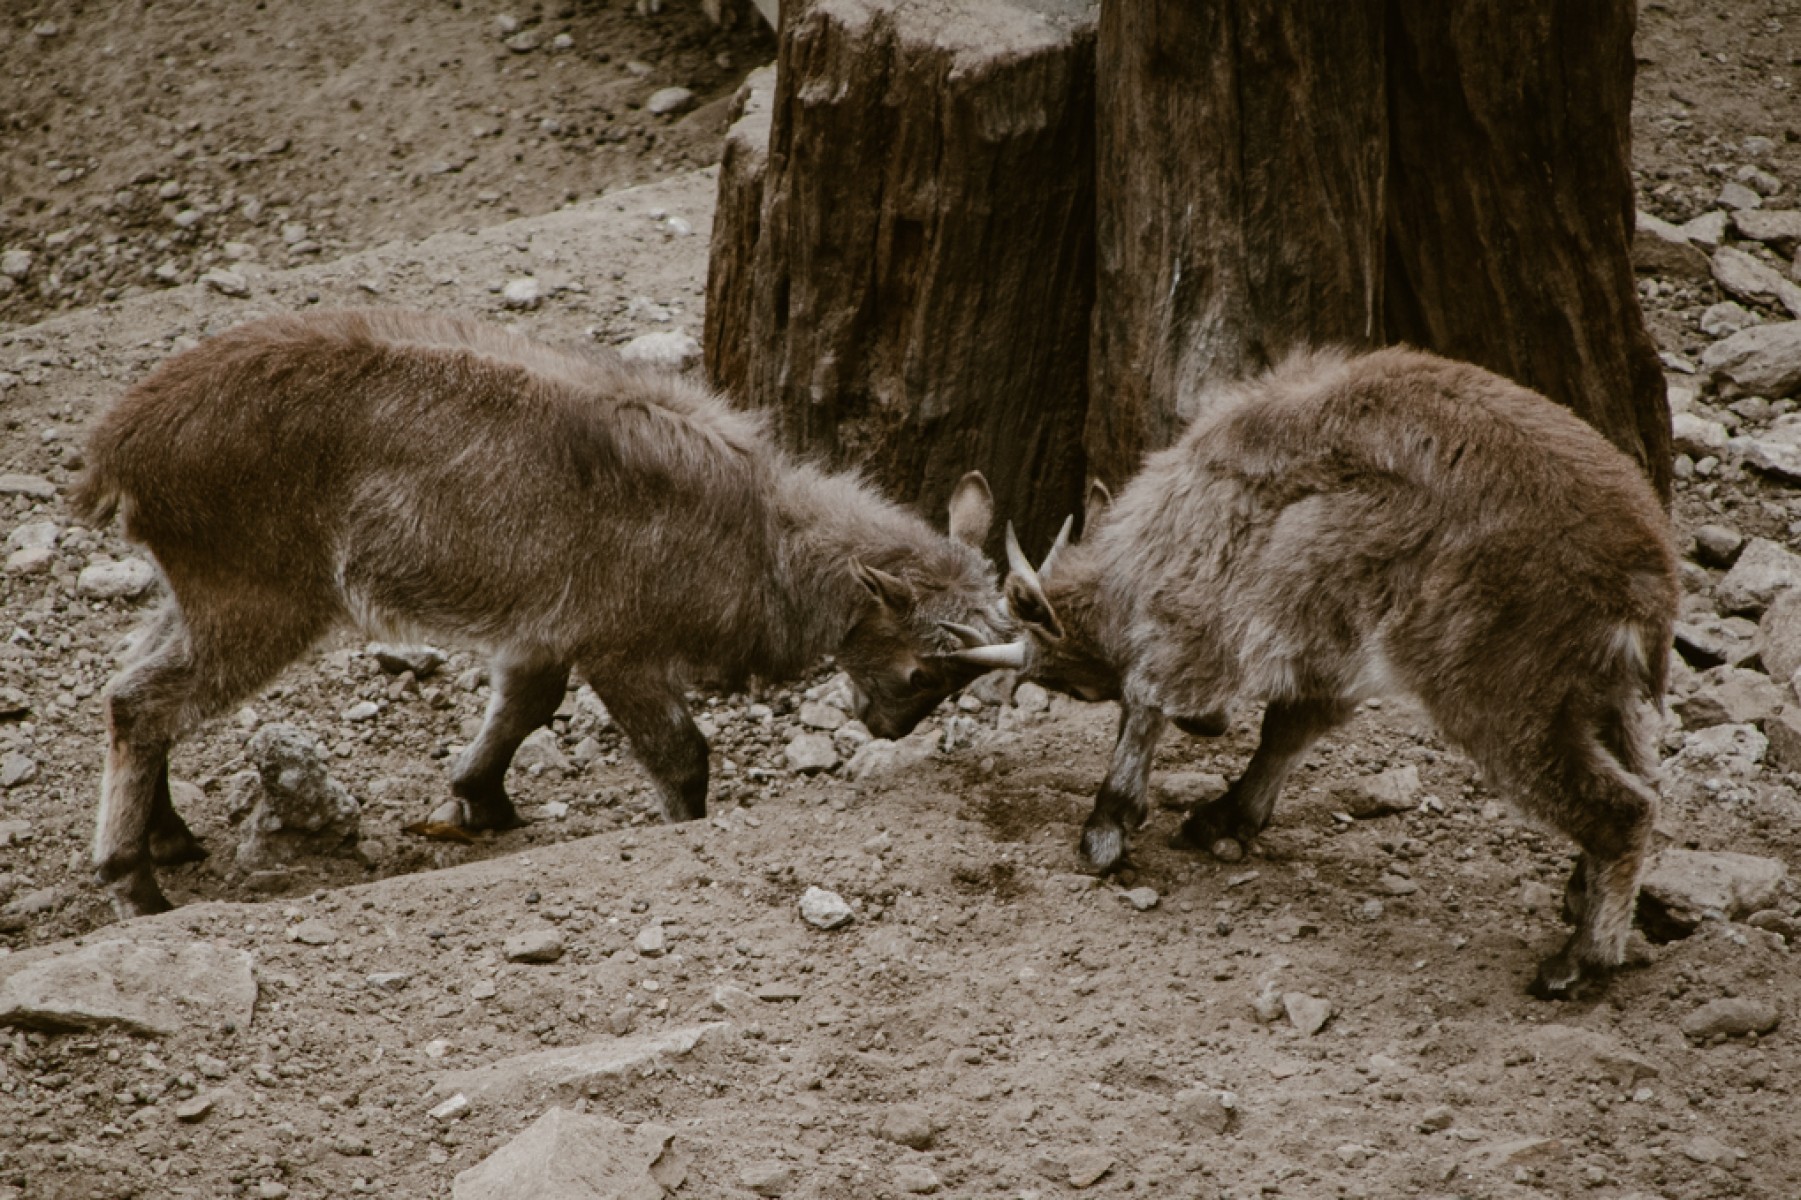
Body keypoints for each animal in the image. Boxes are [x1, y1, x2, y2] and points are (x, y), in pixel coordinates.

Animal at [73, 308, 1008, 918]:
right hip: (258, 598)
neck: (756, 535)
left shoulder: (544, 630)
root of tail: (118, 450)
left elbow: (525, 705)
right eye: (921, 670)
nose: (887, 727)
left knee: (129, 683)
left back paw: (169, 837)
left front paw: (478, 800)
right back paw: (134, 883)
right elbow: (681, 754)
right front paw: (682, 829)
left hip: (199, 591)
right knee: (144, 701)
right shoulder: (621, 644)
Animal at [967, 346, 1678, 999]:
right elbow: (1289, 728)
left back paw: (1581, 961)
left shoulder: (1207, 615)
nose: (1208, 726)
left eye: (1076, 685)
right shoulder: (1327, 652)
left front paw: (1106, 830)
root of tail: (1647, 581)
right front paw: (1224, 818)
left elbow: (1150, 701)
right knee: (1643, 778)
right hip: (1591, 697)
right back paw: (1582, 902)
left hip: (1504, 694)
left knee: (1622, 809)